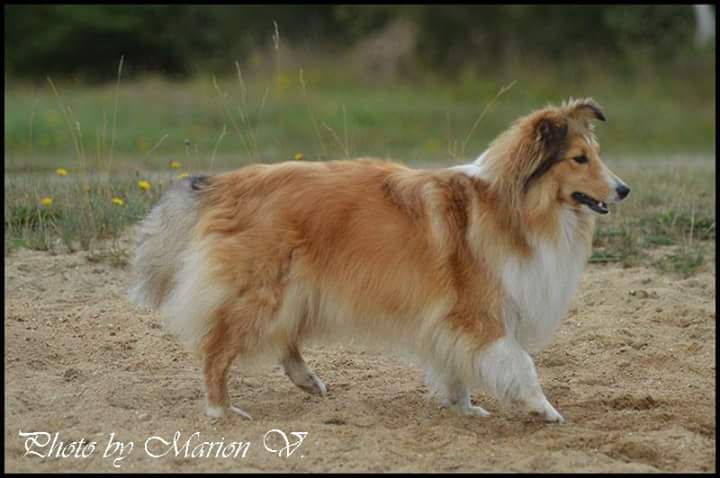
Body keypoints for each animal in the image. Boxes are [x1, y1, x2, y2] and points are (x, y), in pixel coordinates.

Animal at [129, 97, 632, 422]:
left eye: (596, 155)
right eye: (579, 158)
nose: (624, 189)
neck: (513, 205)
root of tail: (226, 182)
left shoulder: (450, 320)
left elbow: (457, 366)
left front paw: (465, 408)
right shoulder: (479, 313)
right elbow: (522, 363)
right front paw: (544, 410)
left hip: (292, 288)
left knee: (284, 339)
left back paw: (309, 382)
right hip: (261, 291)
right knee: (216, 350)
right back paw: (222, 410)